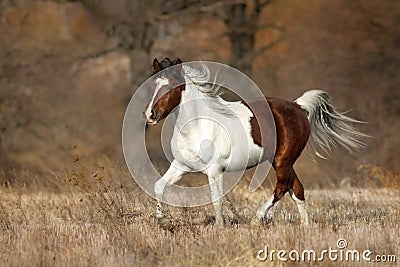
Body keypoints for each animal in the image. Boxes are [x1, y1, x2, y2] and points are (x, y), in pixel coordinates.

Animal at [143, 57, 366, 229]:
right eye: (153, 86)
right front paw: (165, 222)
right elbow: (158, 186)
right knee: (297, 189)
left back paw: (257, 218)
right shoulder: (181, 166)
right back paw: (305, 226)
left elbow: (217, 200)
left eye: (170, 87)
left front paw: (220, 228)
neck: (198, 125)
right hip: (284, 161)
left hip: (282, 160)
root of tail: (298, 107)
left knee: (282, 187)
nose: (150, 115)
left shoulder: (215, 170)